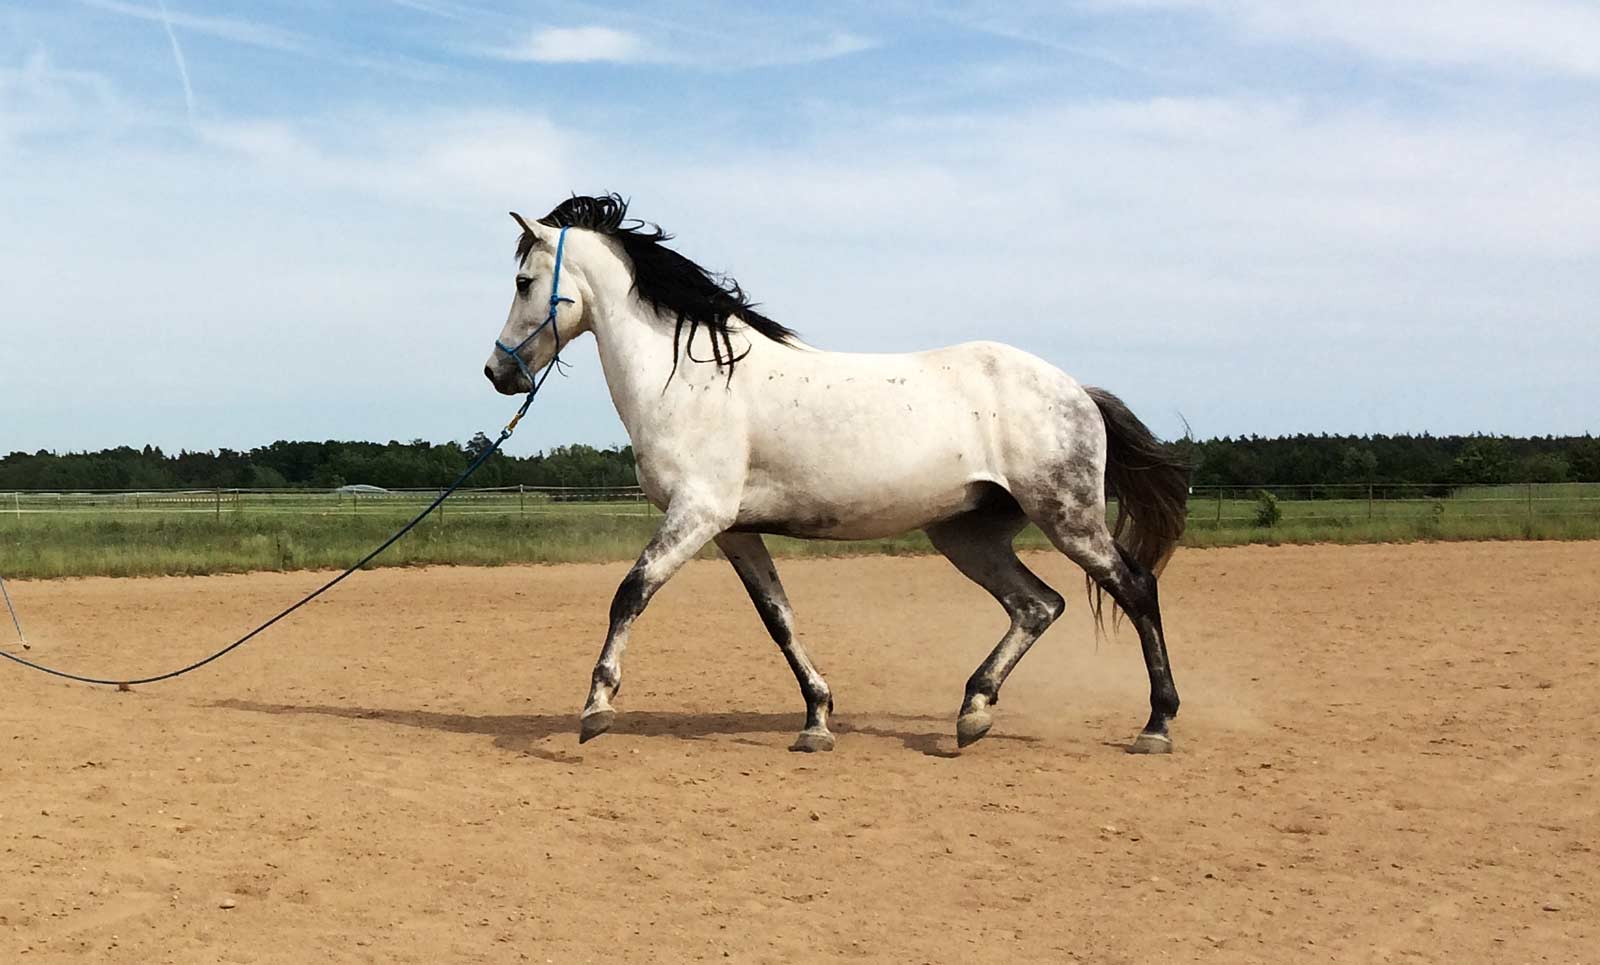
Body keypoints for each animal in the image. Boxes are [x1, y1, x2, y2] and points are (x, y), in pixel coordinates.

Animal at [480, 194, 1196, 755]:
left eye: (522, 282)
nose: (498, 372)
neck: (692, 378)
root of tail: (1077, 390)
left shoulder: (697, 514)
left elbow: (631, 592)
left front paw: (596, 708)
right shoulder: (733, 529)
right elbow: (778, 617)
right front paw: (817, 720)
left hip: (1067, 517)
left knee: (1135, 588)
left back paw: (1155, 725)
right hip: (968, 534)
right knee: (1038, 605)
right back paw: (972, 712)